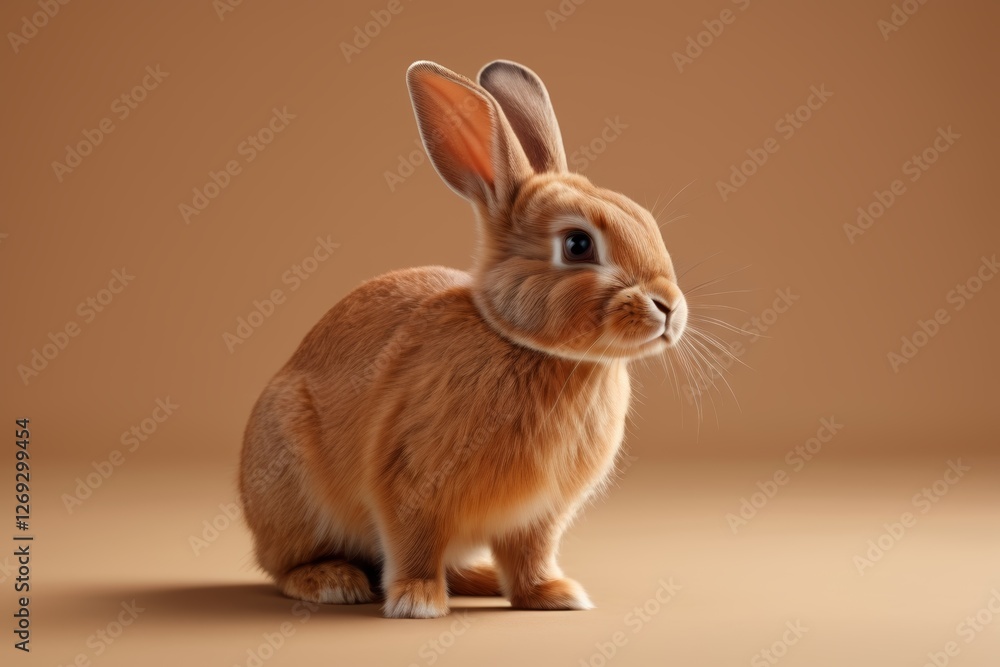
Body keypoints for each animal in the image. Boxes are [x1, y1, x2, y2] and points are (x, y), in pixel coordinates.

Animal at [239, 59, 687, 619]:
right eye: (578, 244)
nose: (670, 308)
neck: (526, 345)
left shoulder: (539, 514)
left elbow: (532, 553)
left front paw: (554, 596)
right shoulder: (410, 483)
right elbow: (413, 541)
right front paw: (417, 602)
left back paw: (480, 579)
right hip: (290, 481)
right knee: (285, 566)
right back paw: (333, 582)